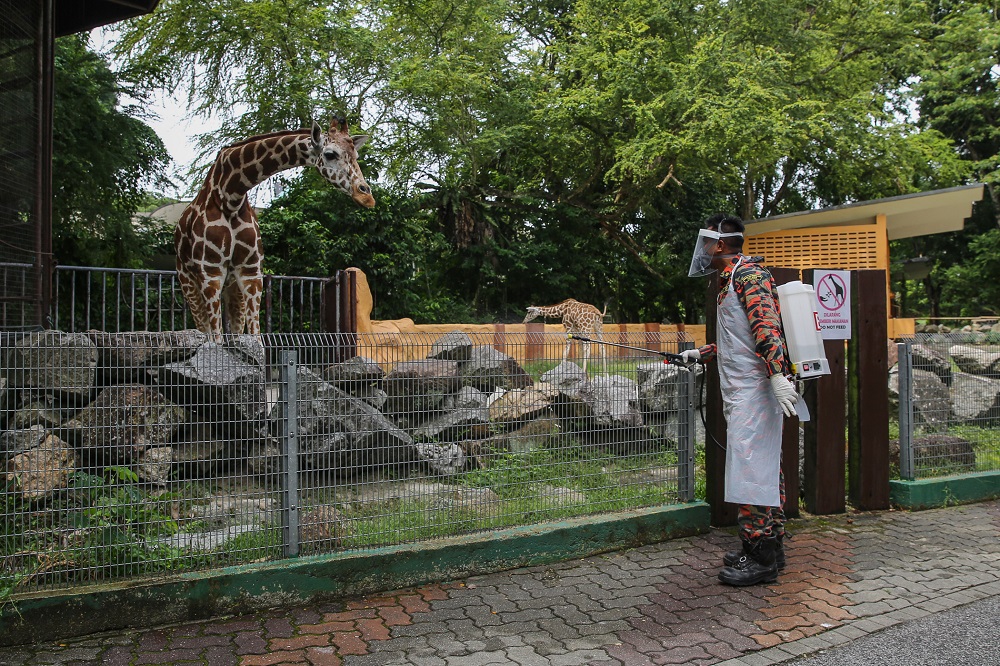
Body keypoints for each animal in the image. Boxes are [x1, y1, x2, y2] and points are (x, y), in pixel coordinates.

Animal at [176, 116, 376, 340]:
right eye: (330, 154)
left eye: (356, 155)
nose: (366, 196)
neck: (230, 196)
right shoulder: (211, 273)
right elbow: (216, 338)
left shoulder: (251, 273)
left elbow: (255, 337)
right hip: (188, 282)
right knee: (204, 329)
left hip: (232, 286)